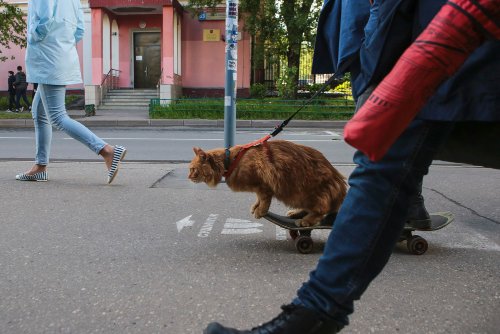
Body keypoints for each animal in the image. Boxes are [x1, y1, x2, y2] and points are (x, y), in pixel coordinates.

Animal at [188, 138, 348, 227]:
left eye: (193, 169)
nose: (188, 177)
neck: (230, 161)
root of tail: (339, 182)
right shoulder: (259, 188)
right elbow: (258, 198)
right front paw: (256, 207)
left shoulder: (263, 185)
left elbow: (265, 200)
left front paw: (260, 211)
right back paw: (295, 213)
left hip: (307, 193)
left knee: (322, 210)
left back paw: (305, 221)